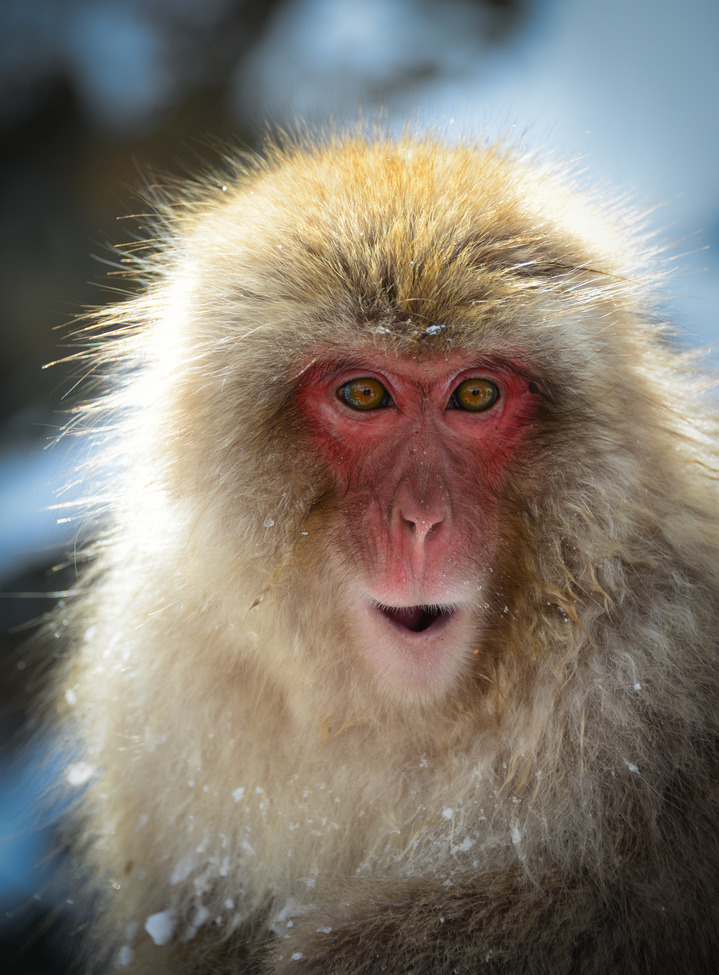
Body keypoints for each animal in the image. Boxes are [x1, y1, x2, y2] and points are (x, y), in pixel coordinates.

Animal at [53, 130, 719, 974]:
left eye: (474, 394)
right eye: (364, 394)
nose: (422, 520)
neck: (403, 713)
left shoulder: (650, 673)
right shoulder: (163, 692)